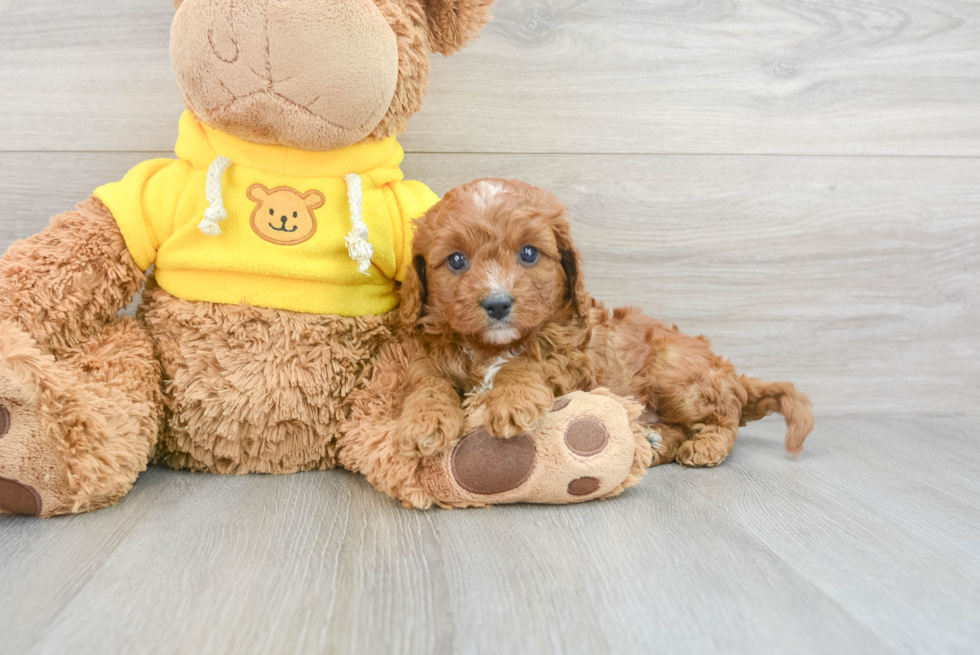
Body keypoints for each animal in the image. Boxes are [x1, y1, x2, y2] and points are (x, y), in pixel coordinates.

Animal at [394, 179, 816, 466]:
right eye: (456, 260)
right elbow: (429, 384)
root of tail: (730, 373)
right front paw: (424, 422)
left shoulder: (570, 361)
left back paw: (705, 445)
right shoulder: (426, 360)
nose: (497, 303)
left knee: (726, 414)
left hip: (674, 372)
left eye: (529, 253)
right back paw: (652, 440)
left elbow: (526, 363)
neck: (492, 345)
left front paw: (512, 400)